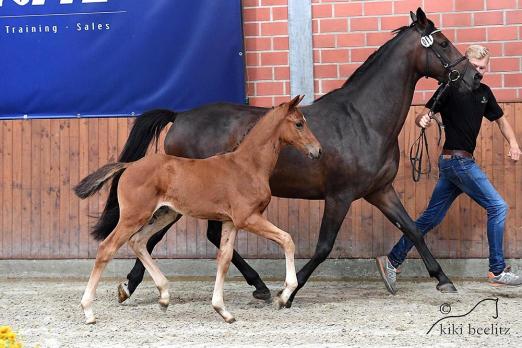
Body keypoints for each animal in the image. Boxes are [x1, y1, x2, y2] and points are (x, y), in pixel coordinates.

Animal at [72, 95, 316, 324]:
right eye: (299, 124)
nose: (317, 150)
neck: (248, 166)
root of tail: (129, 166)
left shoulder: (230, 222)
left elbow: (224, 259)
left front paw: (223, 310)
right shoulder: (248, 218)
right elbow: (286, 239)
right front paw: (284, 296)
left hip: (166, 213)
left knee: (138, 242)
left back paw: (164, 297)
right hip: (134, 216)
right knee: (107, 248)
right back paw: (88, 311)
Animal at [90, 8, 480, 306]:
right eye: (442, 43)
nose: (474, 77)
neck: (363, 119)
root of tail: (180, 116)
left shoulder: (379, 191)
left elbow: (413, 228)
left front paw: (443, 280)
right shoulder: (339, 196)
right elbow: (323, 247)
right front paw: (288, 293)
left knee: (170, 237)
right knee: (162, 237)